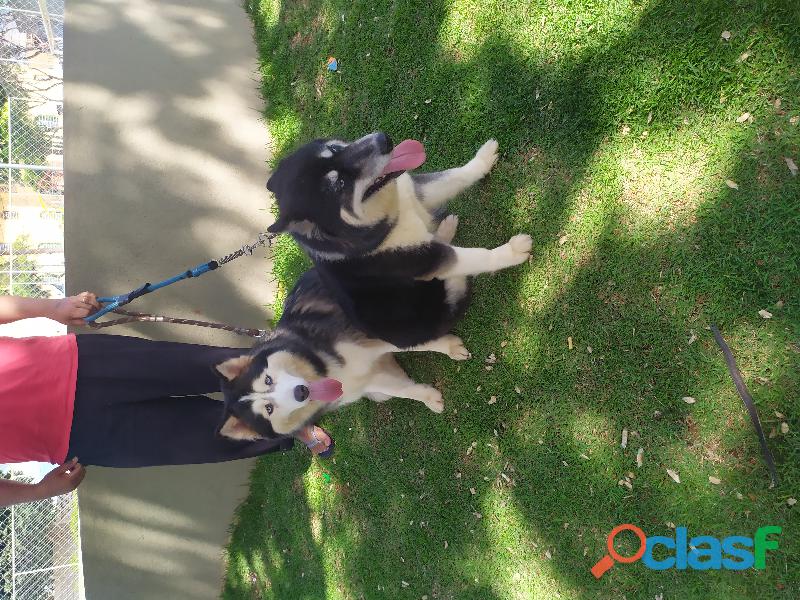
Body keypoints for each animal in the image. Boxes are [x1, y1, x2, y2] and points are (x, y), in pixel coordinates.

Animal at [217, 135, 532, 440]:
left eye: (333, 149)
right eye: (339, 184)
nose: (383, 140)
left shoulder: (413, 193)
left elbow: (454, 177)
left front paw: (482, 160)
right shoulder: (424, 262)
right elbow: (475, 258)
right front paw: (511, 252)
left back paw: (445, 228)